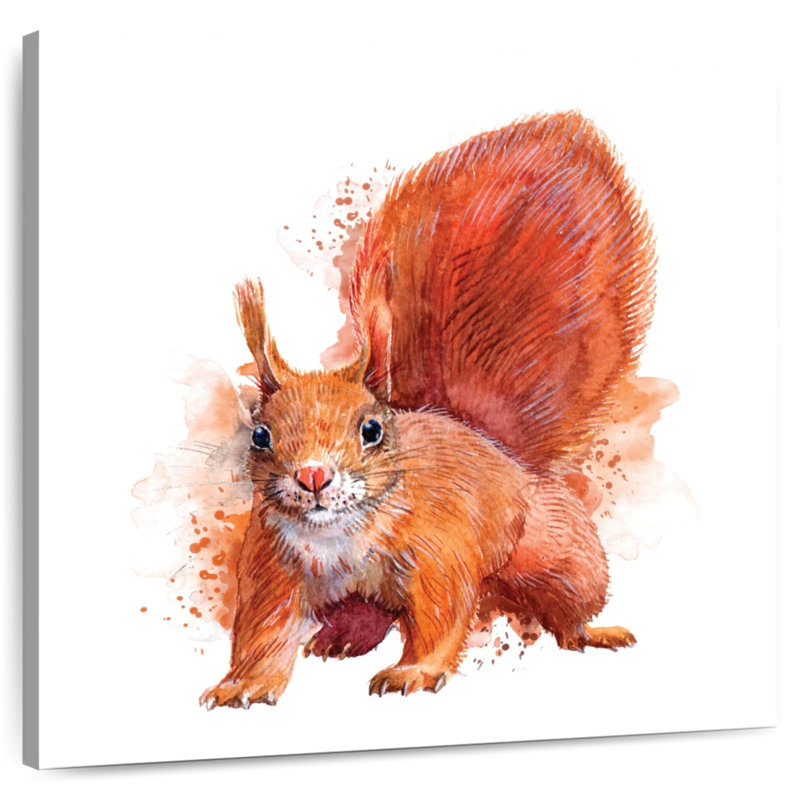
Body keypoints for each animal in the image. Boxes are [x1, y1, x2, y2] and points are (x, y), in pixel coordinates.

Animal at [200, 110, 656, 709]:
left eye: (372, 429)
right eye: (260, 436)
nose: (313, 476)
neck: (337, 538)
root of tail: (501, 452)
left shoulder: (439, 549)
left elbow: (441, 615)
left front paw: (411, 673)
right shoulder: (271, 566)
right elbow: (263, 632)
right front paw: (242, 685)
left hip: (554, 550)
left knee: (570, 601)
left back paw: (591, 632)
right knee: (366, 614)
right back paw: (343, 640)